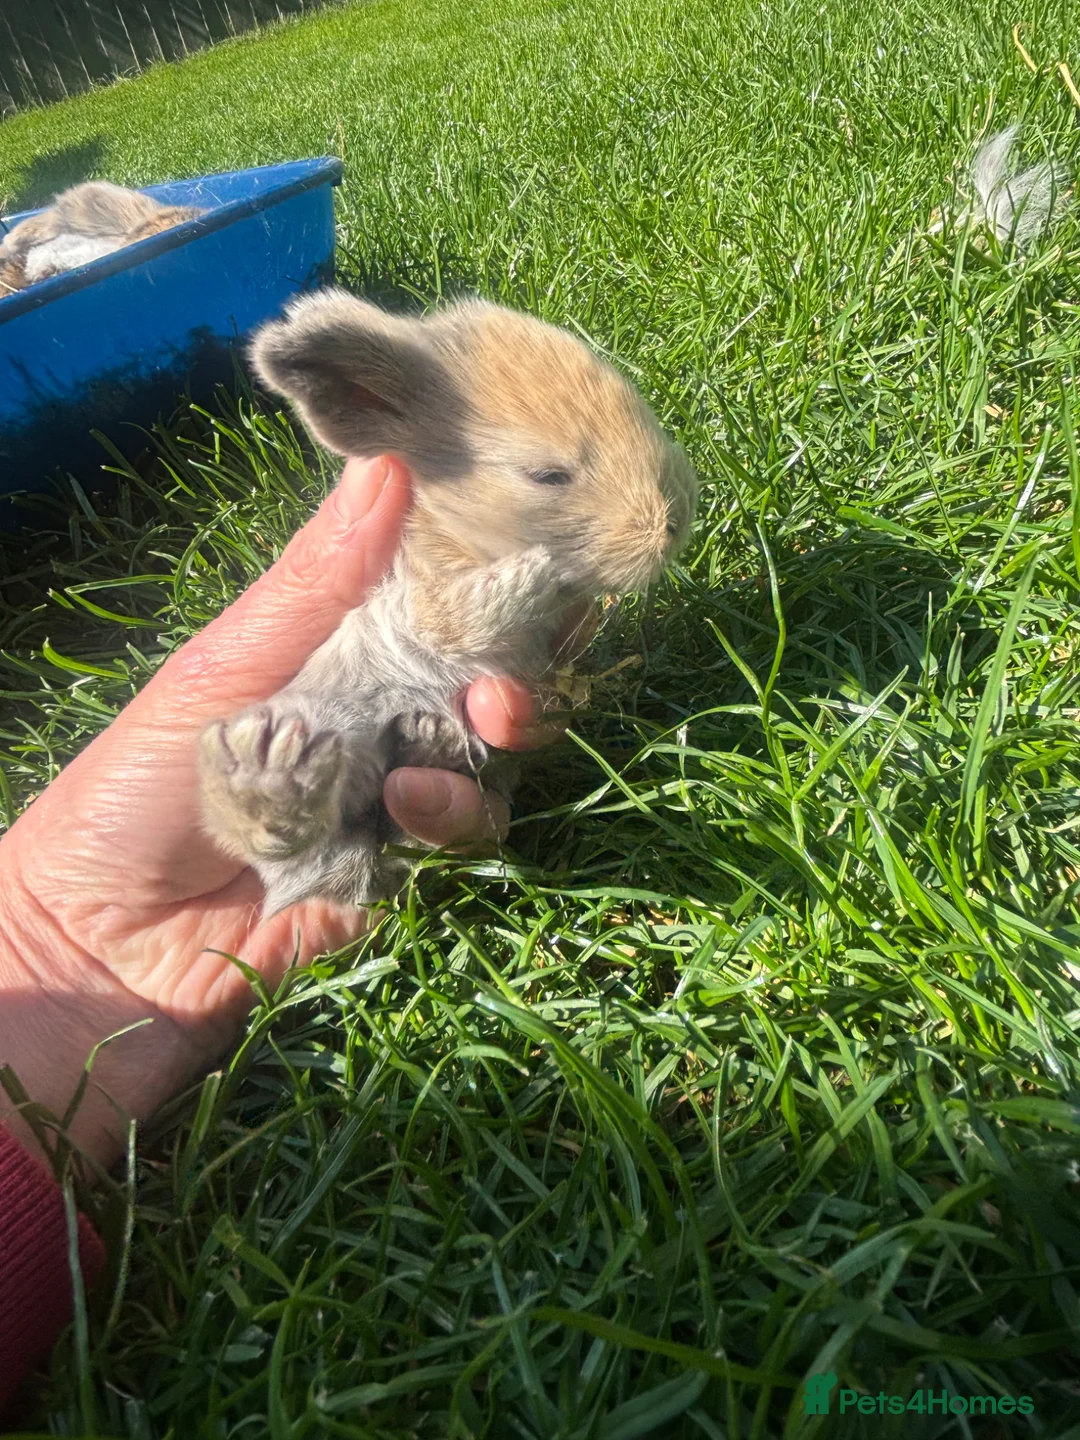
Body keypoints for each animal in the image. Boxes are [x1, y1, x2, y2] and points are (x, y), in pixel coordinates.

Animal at [197, 288, 698, 916]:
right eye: (547, 475)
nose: (674, 523)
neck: (461, 539)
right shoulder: (419, 605)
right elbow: (458, 614)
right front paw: (535, 570)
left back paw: (424, 741)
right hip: (333, 726)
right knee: (276, 835)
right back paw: (270, 769)